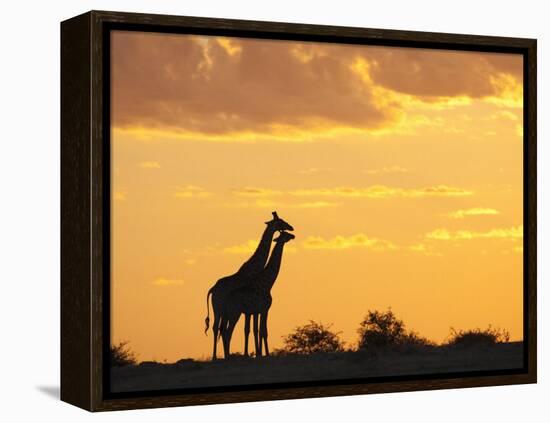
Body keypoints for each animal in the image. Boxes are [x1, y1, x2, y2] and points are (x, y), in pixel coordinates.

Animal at [206, 214, 294, 360]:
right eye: (281, 221)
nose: (292, 228)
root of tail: (212, 289)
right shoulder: (256, 309)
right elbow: (256, 330)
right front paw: (257, 354)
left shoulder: (250, 311)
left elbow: (250, 329)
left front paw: (252, 353)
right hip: (220, 310)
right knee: (218, 328)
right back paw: (218, 356)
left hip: (223, 311)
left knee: (221, 329)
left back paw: (224, 355)